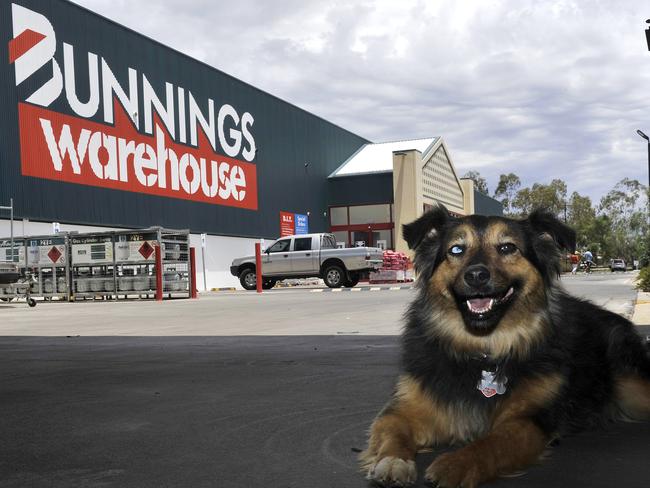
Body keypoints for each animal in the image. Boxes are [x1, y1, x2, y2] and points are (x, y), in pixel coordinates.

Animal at [360, 206, 648, 488]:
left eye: (507, 247)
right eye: (456, 249)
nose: (476, 276)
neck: (483, 348)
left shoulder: (528, 420)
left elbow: (492, 444)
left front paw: (455, 464)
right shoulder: (405, 406)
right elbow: (393, 430)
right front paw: (392, 461)